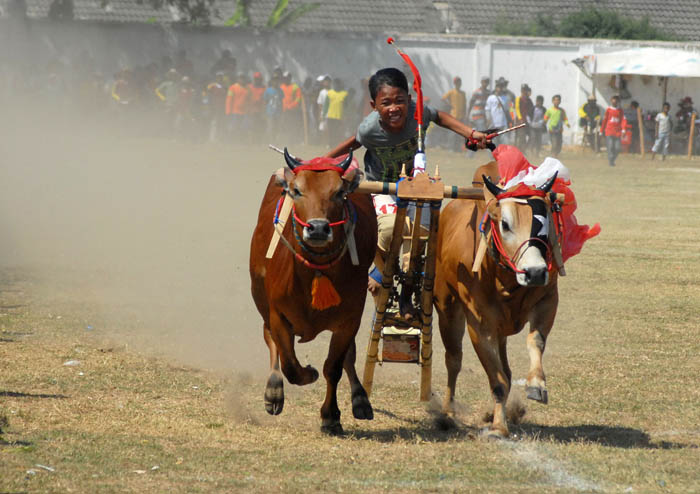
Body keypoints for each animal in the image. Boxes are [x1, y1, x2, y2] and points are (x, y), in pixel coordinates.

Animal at [249, 150, 374, 432]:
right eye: (297, 190)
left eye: (339, 192)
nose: (317, 228)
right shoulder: (278, 315)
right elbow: (291, 366)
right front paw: (307, 374)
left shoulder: (350, 319)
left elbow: (334, 367)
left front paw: (331, 415)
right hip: (261, 300)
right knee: (269, 339)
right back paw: (274, 390)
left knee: (349, 357)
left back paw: (361, 398)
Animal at [434, 161, 560, 436]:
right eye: (505, 224)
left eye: (545, 222)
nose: (535, 272)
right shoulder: (479, 325)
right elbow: (497, 380)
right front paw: (499, 426)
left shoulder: (548, 301)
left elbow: (535, 341)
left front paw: (536, 384)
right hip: (447, 309)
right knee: (453, 359)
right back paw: (447, 412)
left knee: (507, 369)